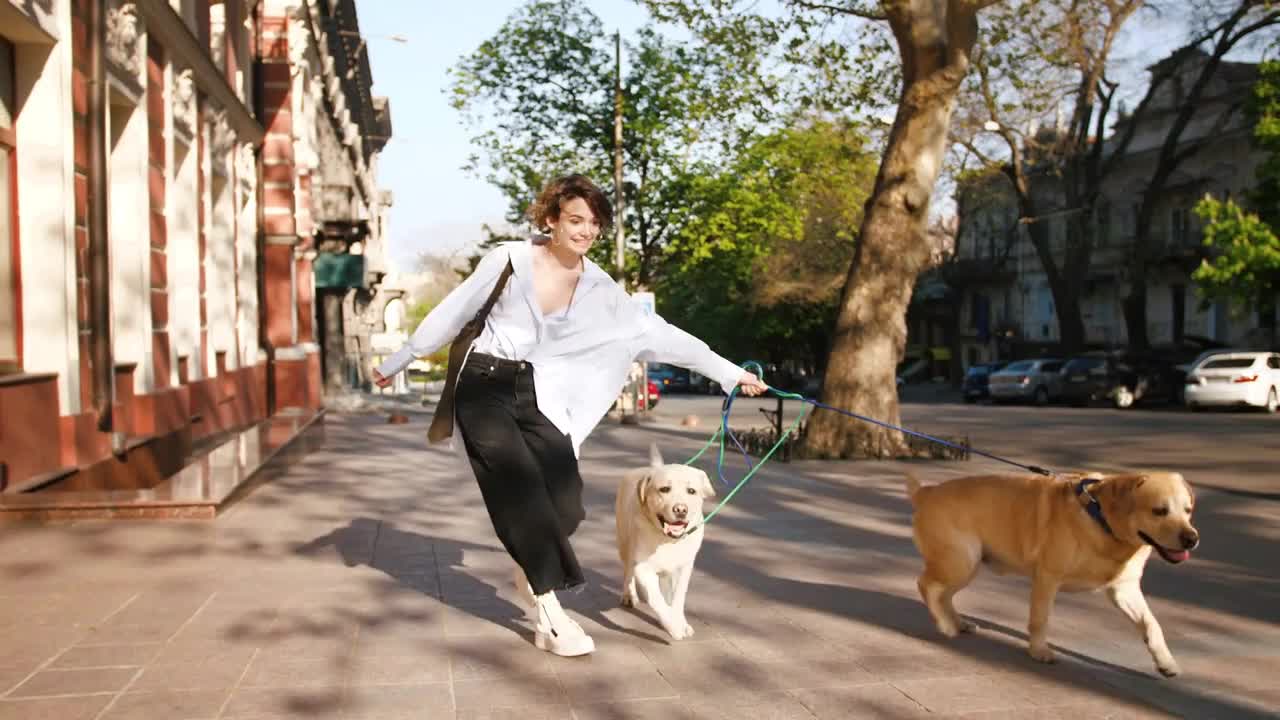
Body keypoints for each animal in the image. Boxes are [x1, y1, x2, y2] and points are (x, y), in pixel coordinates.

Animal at [614, 443, 716, 638]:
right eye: (664, 489)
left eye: (691, 491)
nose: (681, 509)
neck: (667, 540)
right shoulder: (643, 568)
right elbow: (656, 599)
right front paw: (673, 626)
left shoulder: (684, 567)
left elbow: (678, 598)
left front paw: (680, 622)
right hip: (625, 545)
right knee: (627, 572)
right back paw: (629, 595)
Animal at [906, 468, 1192, 676]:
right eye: (1159, 511)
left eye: (1188, 510)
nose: (1193, 538)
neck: (1100, 518)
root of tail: (926, 492)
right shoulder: (1048, 578)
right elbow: (1040, 619)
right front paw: (1039, 651)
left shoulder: (1125, 590)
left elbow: (1151, 624)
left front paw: (1165, 662)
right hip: (960, 562)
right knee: (926, 585)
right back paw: (945, 625)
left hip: (968, 565)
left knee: (944, 595)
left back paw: (958, 622)